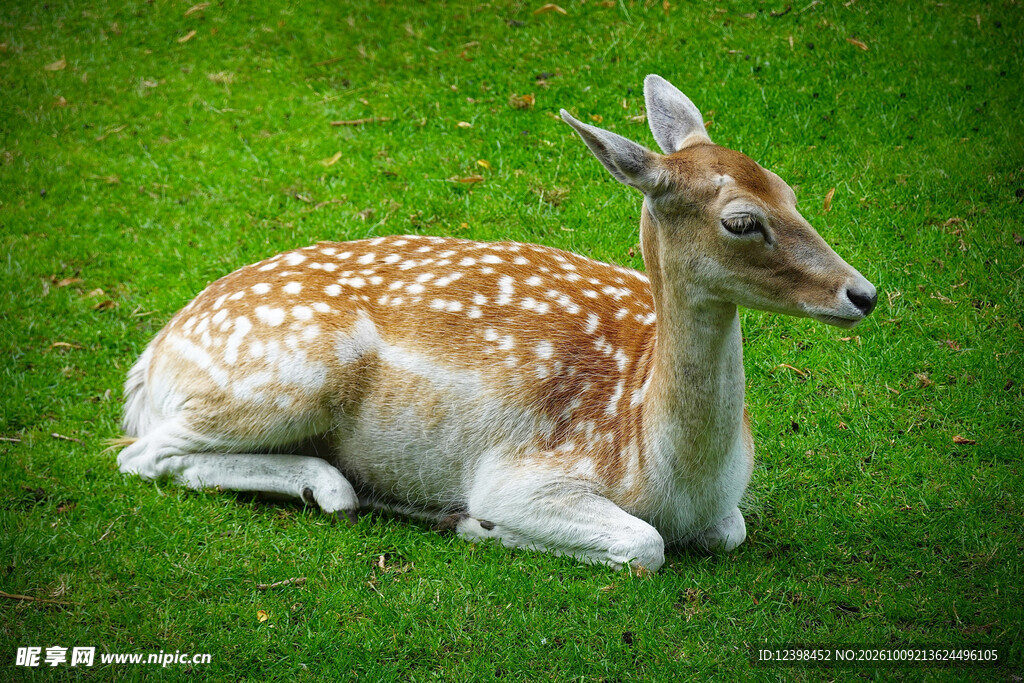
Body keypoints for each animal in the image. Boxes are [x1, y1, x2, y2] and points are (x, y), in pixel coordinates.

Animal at [115, 75, 877, 572]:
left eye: (789, 190)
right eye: (742, 222)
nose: (863, 293)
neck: (664, 470)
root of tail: (149, 363)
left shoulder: (724, 512)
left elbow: (732, 530)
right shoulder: (524, 474)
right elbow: (645, 545)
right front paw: (477, 525)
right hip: (288, 372)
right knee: (143, 454)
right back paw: (338, 486)